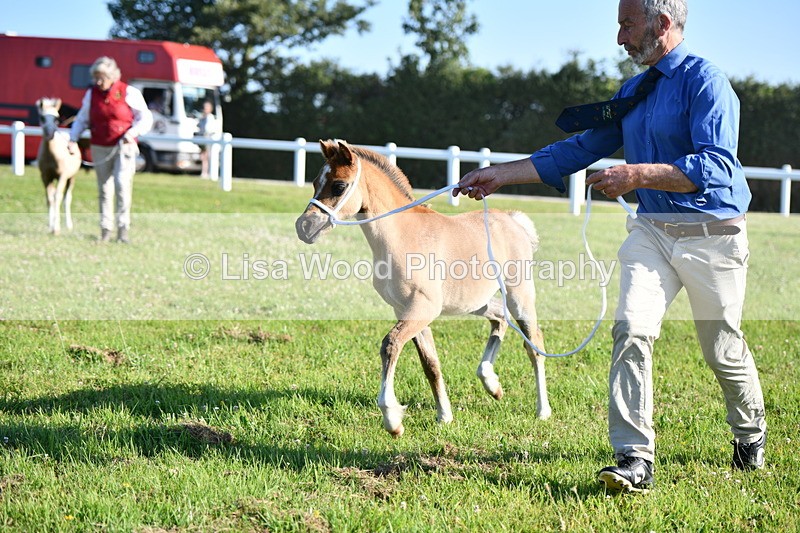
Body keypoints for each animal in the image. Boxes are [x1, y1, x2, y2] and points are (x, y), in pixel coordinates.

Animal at [36, 98, 82, 234]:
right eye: (42, 117)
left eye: (56, 118)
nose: (49, 133)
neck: (52, 155)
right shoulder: (45, 177)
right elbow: (50, 199)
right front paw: (51, 227)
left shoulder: (62, 176)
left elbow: (58, 197)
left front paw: (56, 229)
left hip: (71, 178)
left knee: (67, 199)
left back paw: (69, 225)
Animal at [295, 139, 551, 437]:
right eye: (315, 183)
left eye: (338, 186)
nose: (304, 227)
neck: (403, 237)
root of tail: (513, 219)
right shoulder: (407, 311)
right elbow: (430, 364)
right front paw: (445, 416)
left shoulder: (422, 308)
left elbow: (390, 345)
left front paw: (392, 419)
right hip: (475, 302)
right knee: (499, 318)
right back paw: (491, 384)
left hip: (519, 295)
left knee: (534, 345)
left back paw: (542, 410)